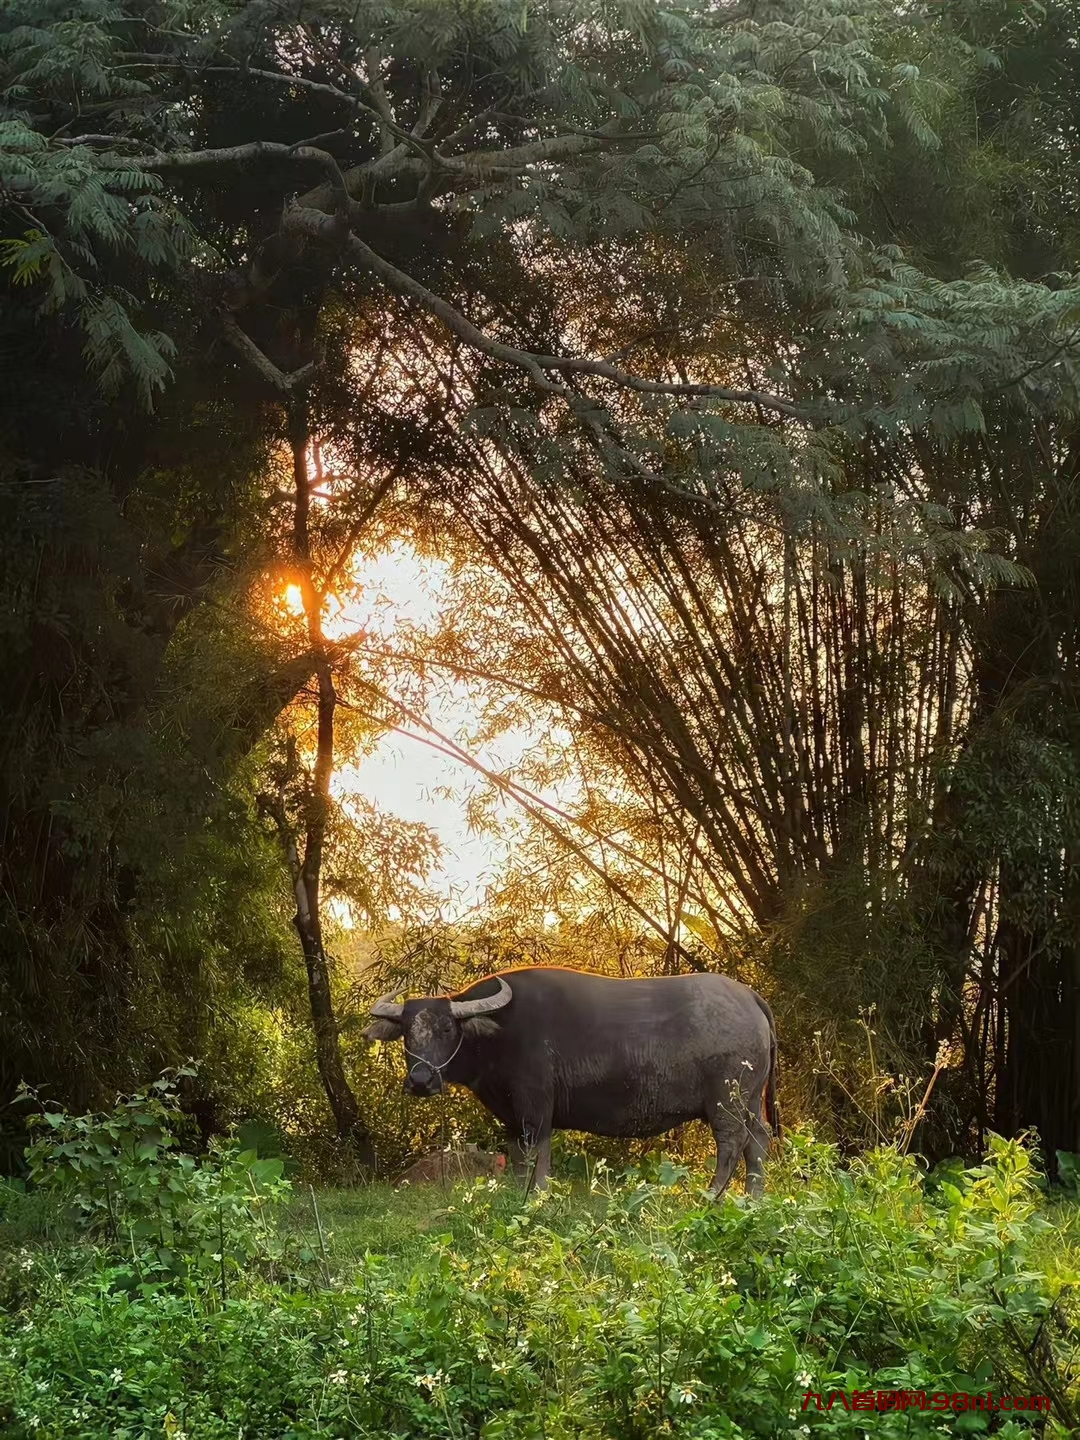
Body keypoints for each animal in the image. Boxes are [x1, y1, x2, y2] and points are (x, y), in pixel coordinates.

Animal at [368, 973, 783, 1198]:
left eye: (446, 1028)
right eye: (406, 1031)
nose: (420, 1080)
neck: (499, 1034)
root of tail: (749, 997)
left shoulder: (536, 1105)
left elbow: (538, 1155)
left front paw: (538, 1195)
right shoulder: (511, 1116)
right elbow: (517, 1157)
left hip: (726, 1100)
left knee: (732, 1144)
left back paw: (712, 1195)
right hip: (749, 1100)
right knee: (758, 1142)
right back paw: (753, 1197)